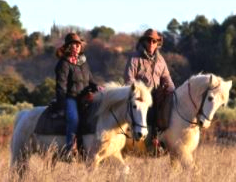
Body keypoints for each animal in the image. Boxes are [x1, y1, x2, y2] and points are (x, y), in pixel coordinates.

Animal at [10, 81, 152, 173]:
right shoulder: (92, 159)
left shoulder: (113, 154)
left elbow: (125, 170)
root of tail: (23, 115)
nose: (142, 134)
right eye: (134, 106)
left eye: (147, 107)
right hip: (20, 154)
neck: (106, 121)